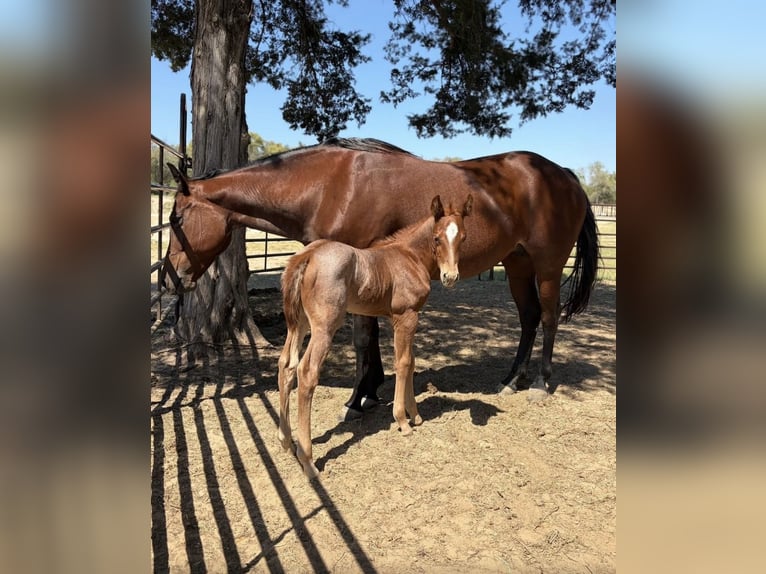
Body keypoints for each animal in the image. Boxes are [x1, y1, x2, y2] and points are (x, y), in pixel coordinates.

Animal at [161, 137, 599, 417]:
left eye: (176, 218)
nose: (169, 278)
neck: (329, 185)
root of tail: (564, 175)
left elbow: (360, 339)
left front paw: (357, 399)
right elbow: (369, 337)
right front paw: (371, 391)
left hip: (547, 265)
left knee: (548, 317)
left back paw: (540, 383)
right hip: (517, 264)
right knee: (528, 318)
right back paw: (510, 379)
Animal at [277, 194, 472, 478]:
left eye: (463, 237)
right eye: (436, 238)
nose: (450, 277)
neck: (409, 256)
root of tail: (307, 255)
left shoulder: (403, 318)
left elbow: (411, 362)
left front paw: (416, 415)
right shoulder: (406, 316)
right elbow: (403, 363)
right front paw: (403, 421)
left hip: (299, 322)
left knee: (286, 365)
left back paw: (285, 442)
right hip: (325, 326)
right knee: (306, 372)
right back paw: (308, 460)